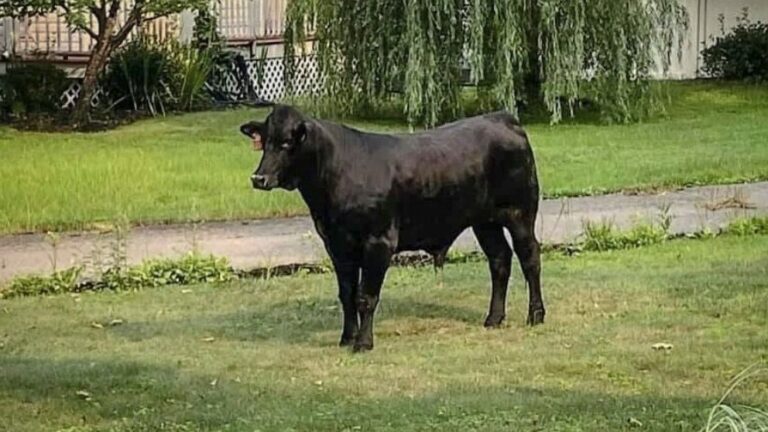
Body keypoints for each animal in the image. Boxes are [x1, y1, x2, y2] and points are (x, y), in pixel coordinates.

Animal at [240, 105, 544, 352]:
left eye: (287, 142)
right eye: (265, 141)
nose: (259, 178)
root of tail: (501, 118)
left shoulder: (378, 242)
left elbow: (366, 296)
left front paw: (363, 343)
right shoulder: (336, 244)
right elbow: (346, 294)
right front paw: (346, 338)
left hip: (520, 213)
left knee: (529, 257)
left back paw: (535, 315)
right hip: (485, 221)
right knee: (500, 260)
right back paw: (494, 318)